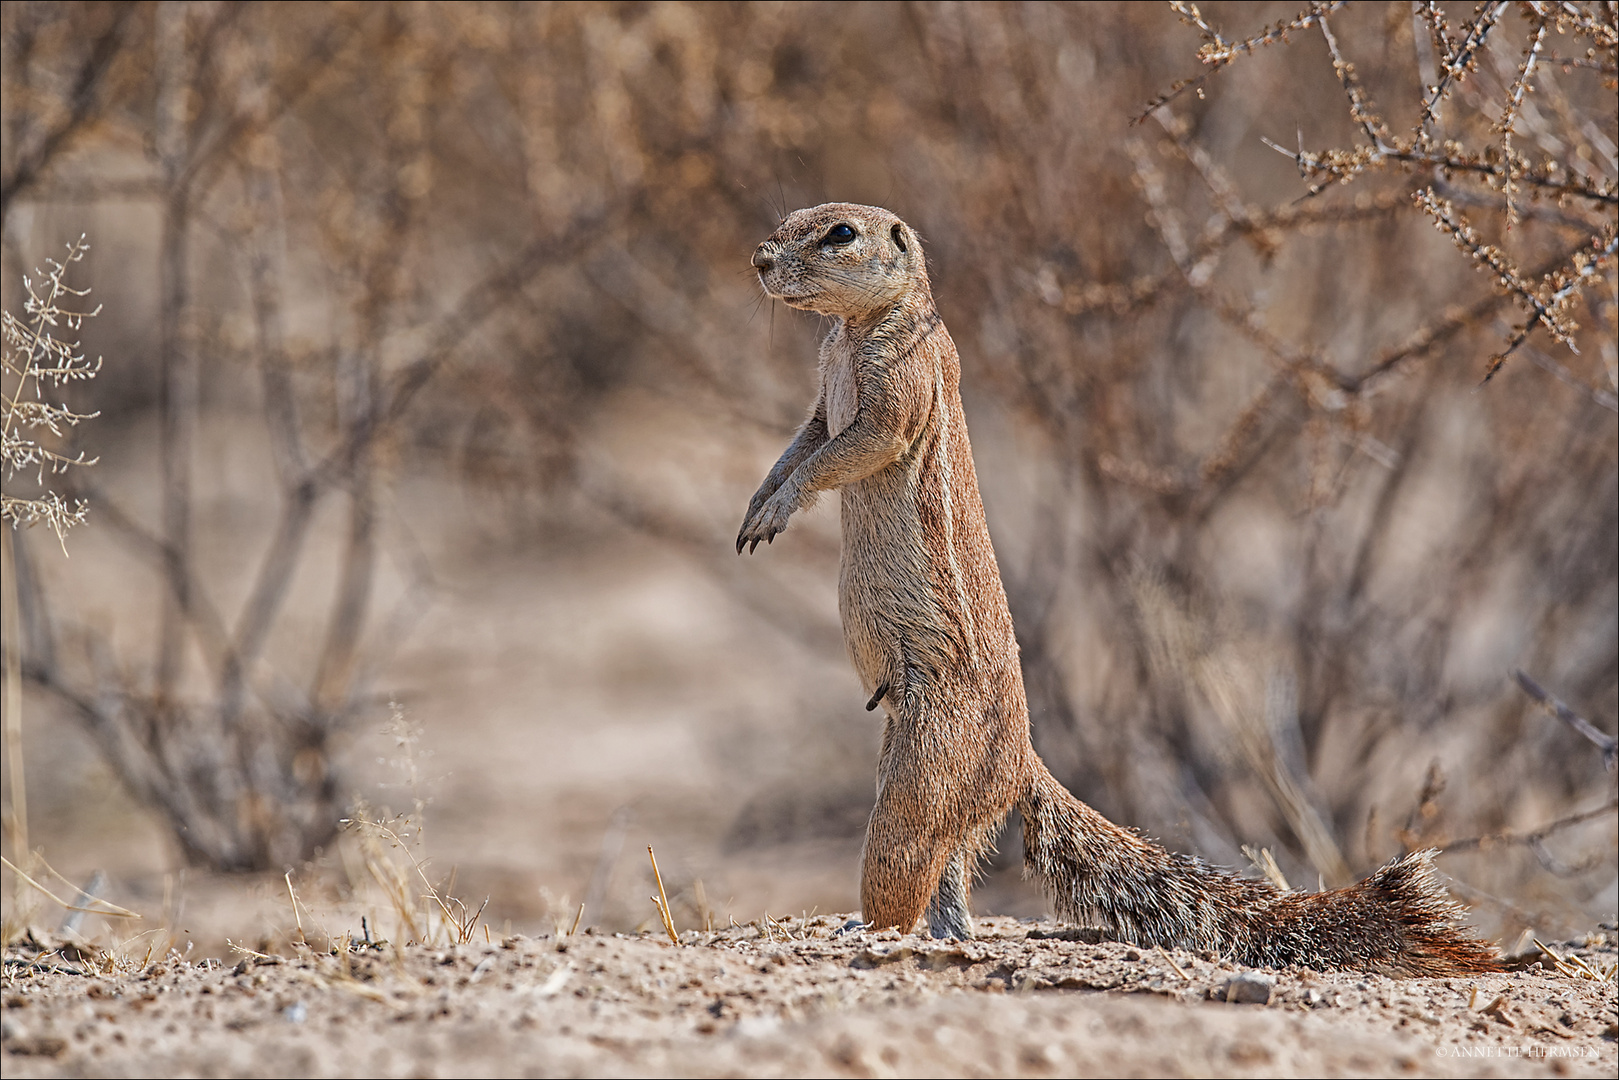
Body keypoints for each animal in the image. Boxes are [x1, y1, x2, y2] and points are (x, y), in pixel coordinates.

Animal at [741, 202, 1495, 977]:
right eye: (792, 217)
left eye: (839, 234)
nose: (760, 261)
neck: (855, 330)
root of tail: (1022, 761)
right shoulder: (821, 402)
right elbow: (801, 443)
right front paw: (757, 505)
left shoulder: (900, 385)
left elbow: (852, 448)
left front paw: (777, 509)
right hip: (912, 762)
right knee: (951, 869)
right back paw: (940, 935)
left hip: (922, 772)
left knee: (907, 861)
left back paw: (867, 932)